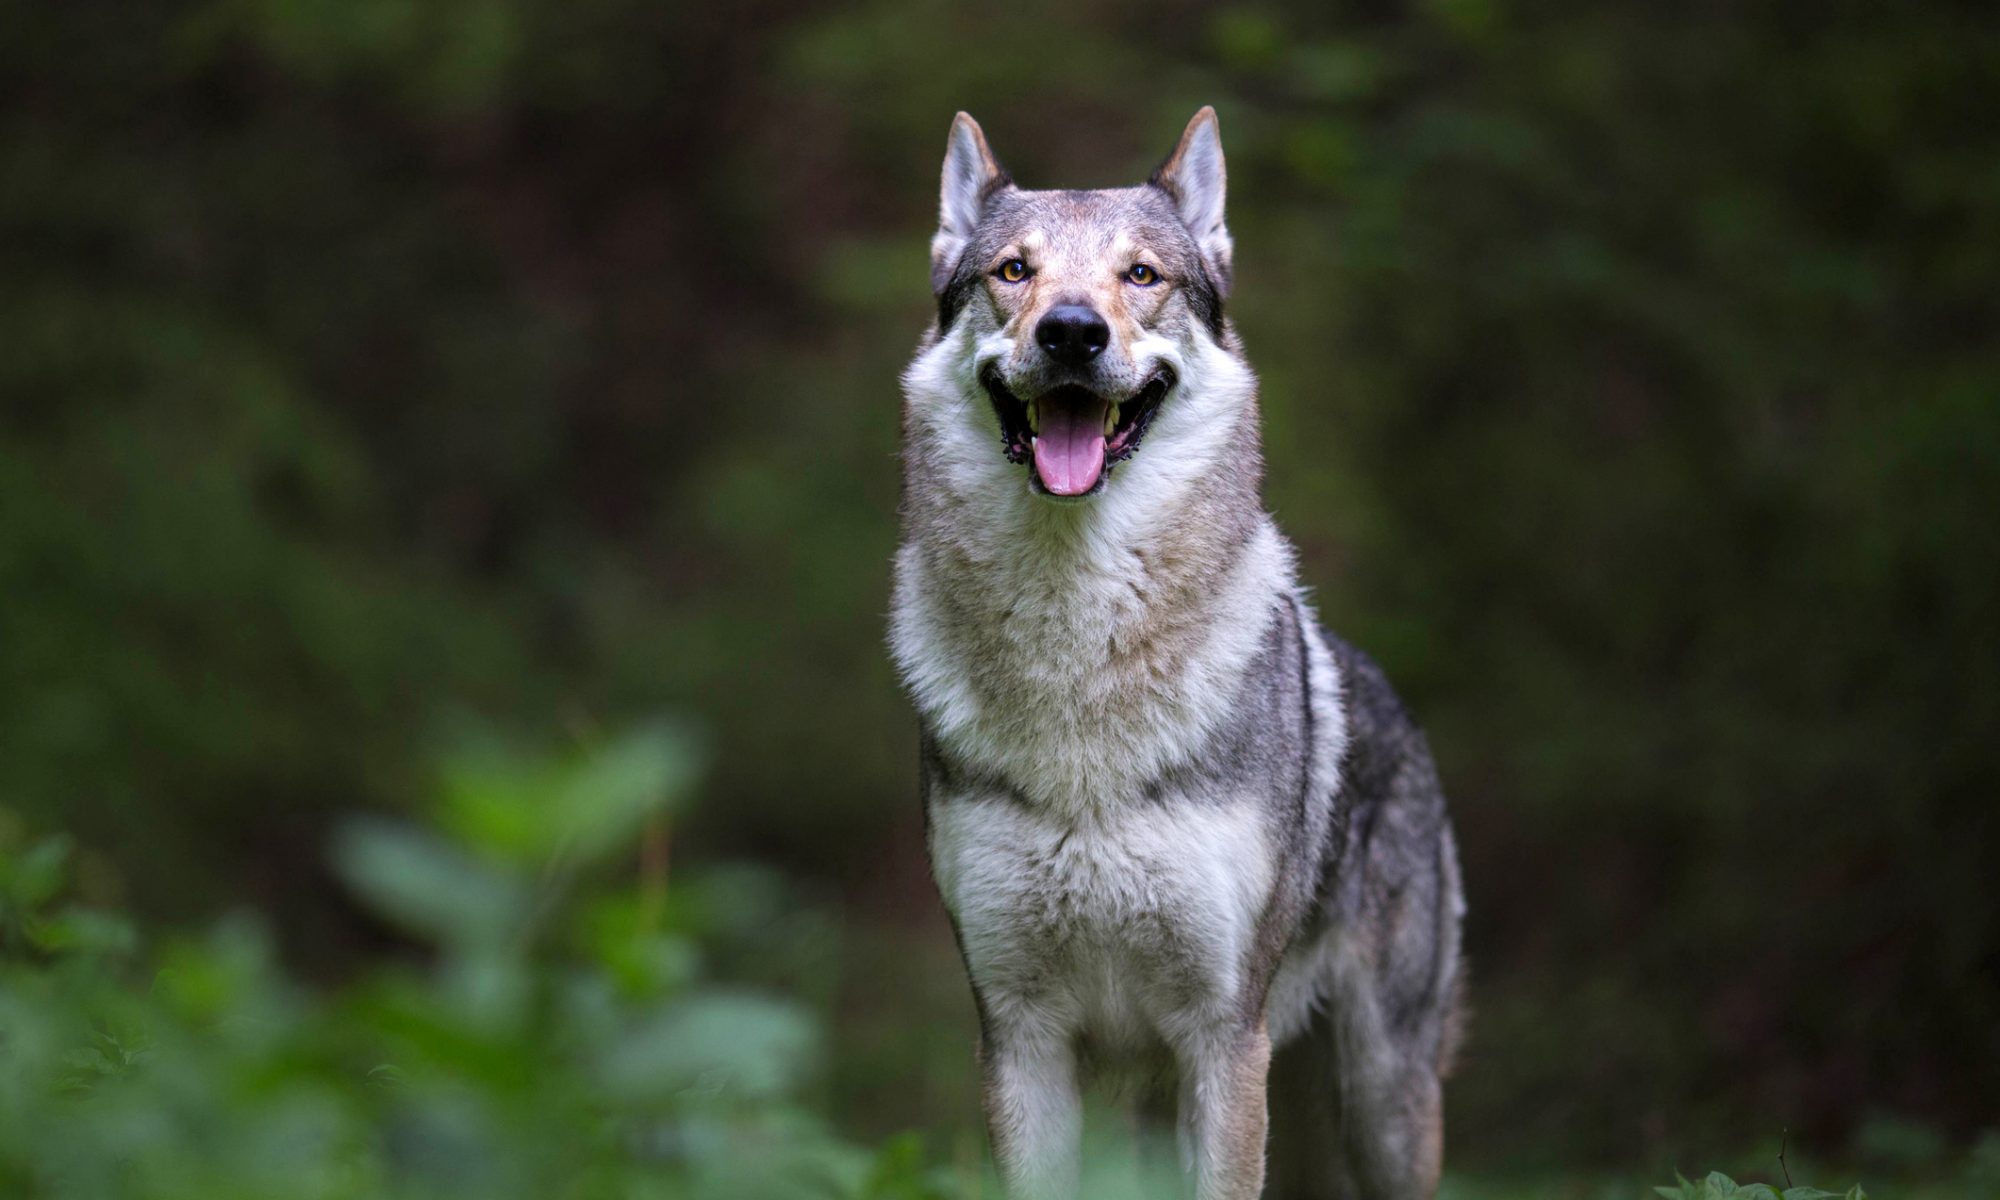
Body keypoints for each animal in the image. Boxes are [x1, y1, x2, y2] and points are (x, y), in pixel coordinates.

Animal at [888, 108, 1465, 1200]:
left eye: (1142, 274)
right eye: (1015, 271)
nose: (1073, 331)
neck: (1076, 651)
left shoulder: (1222, 1038)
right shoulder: (1018, 1038)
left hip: (1378, 1099)